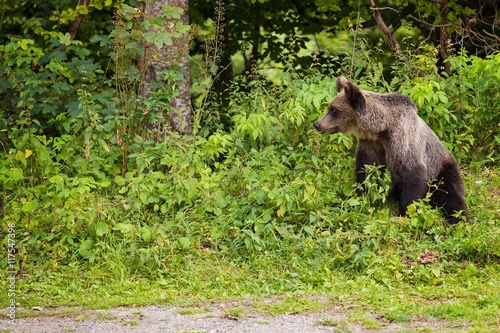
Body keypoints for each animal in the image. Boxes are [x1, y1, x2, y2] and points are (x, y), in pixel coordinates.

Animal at [314, 77, 466, 223]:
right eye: (329, 107)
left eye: (334, 110)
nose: (317, 124)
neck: (383, 128)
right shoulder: (373, 143)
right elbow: (367, 169)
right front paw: (361, 195)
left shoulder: (403, 141)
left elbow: (413, 176)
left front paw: (405, 213)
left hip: (442, 169)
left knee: (449, 194)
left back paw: (458, 217)